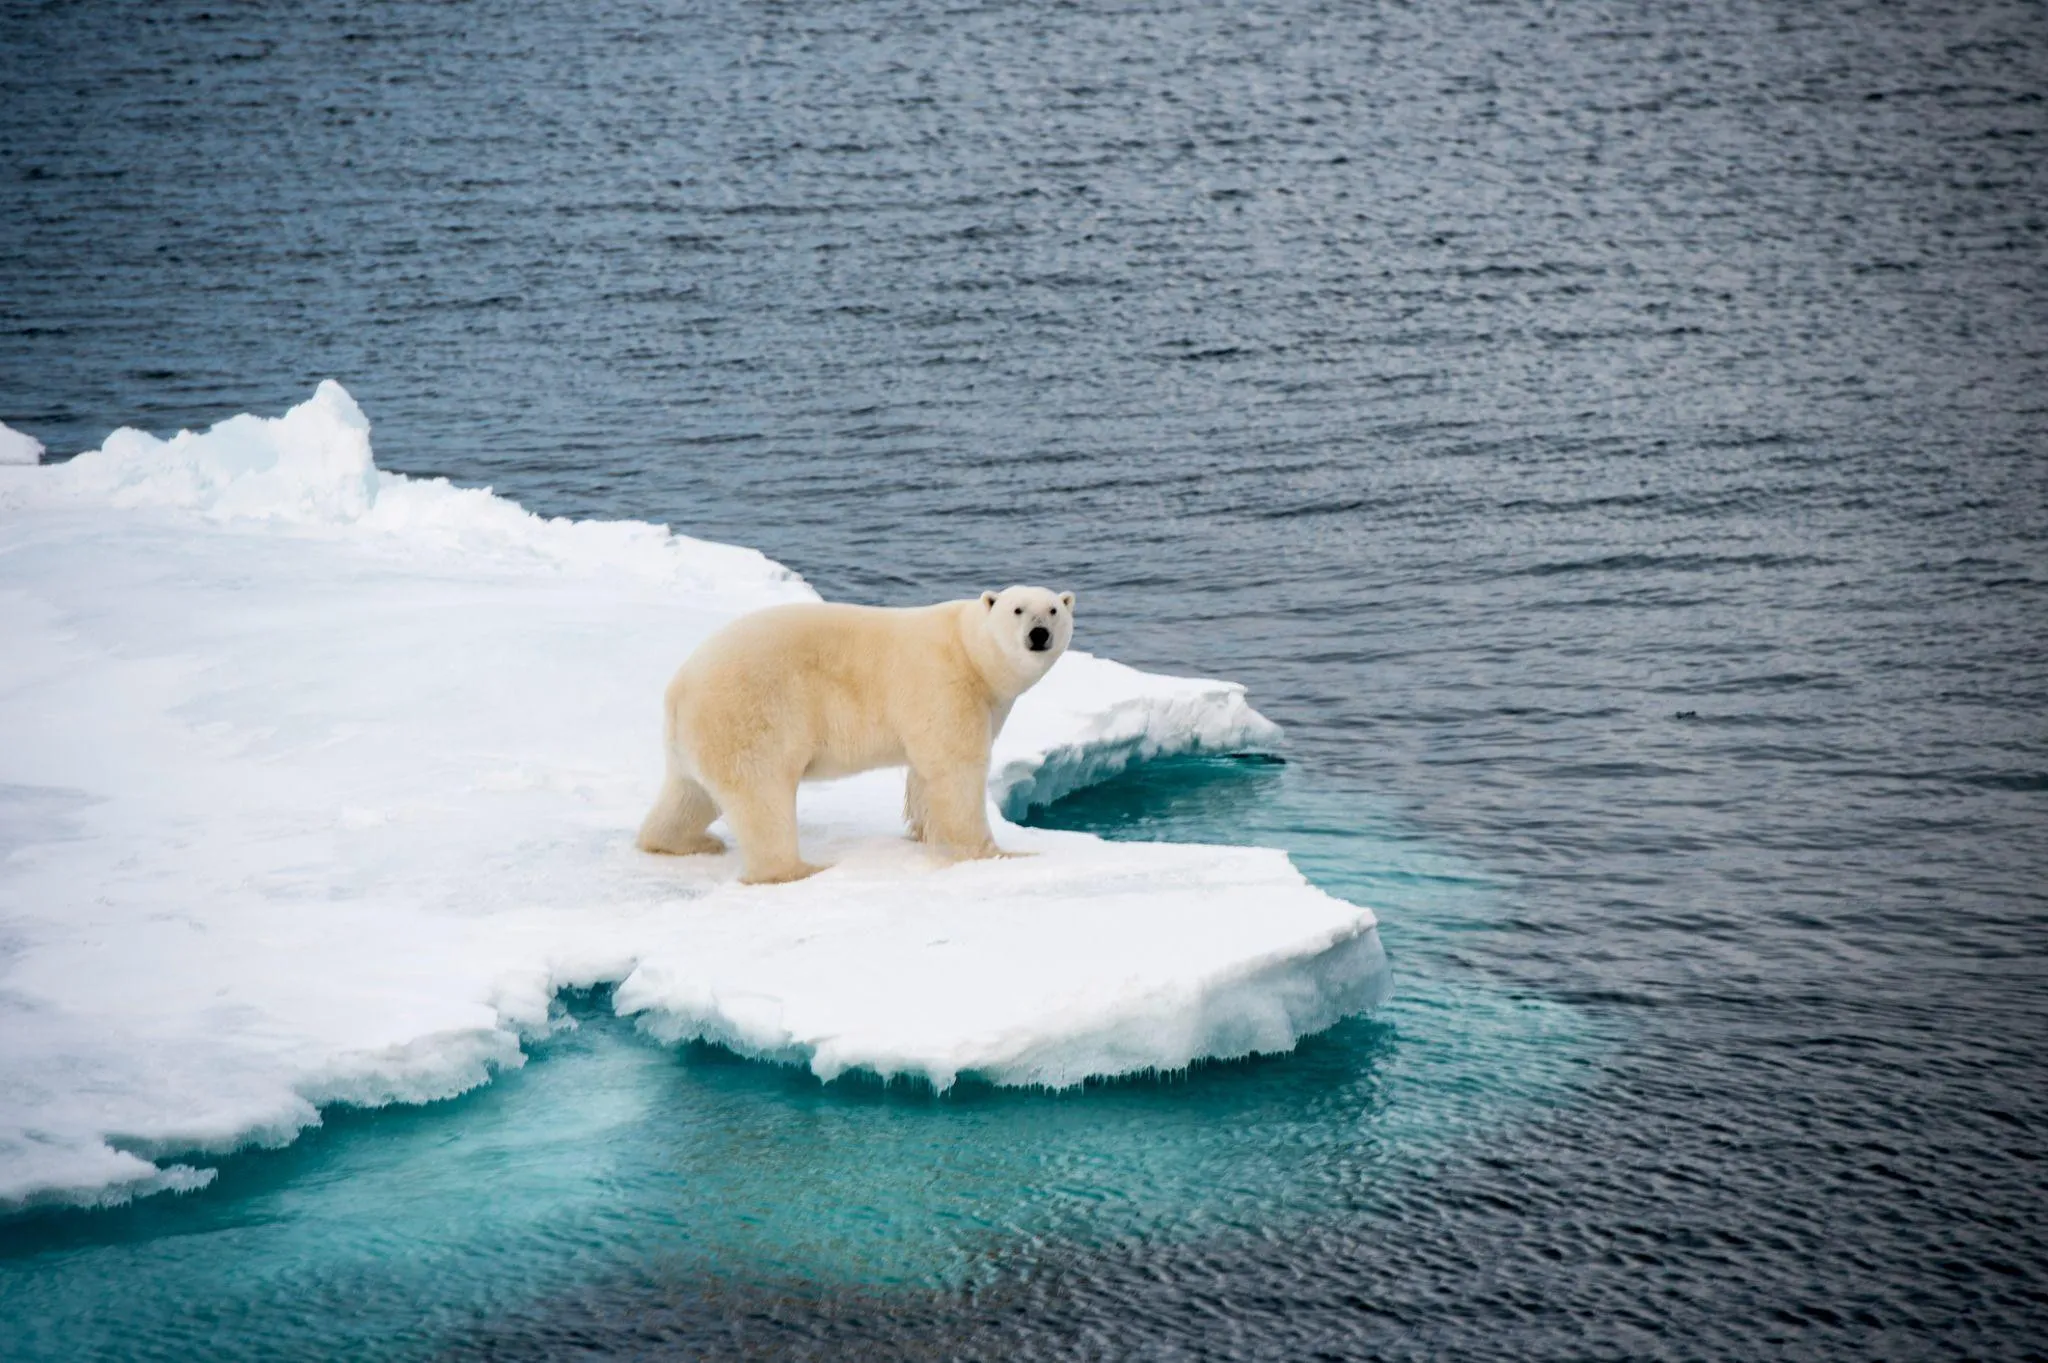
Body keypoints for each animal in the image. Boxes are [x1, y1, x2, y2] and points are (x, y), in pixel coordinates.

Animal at [636, 585, 1076, 884]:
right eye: (1018, 609)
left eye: (1053, 609)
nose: (1039, 633)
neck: (970, 651)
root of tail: (679, 688)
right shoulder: (944, 683)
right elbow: (956, 769)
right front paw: (997, 853)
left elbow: (923, 773)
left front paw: (921, 831)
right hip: (749, 714)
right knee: (761, 796)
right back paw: (799, 869)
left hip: (697, 737)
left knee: (689, 795)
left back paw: (685, 842)